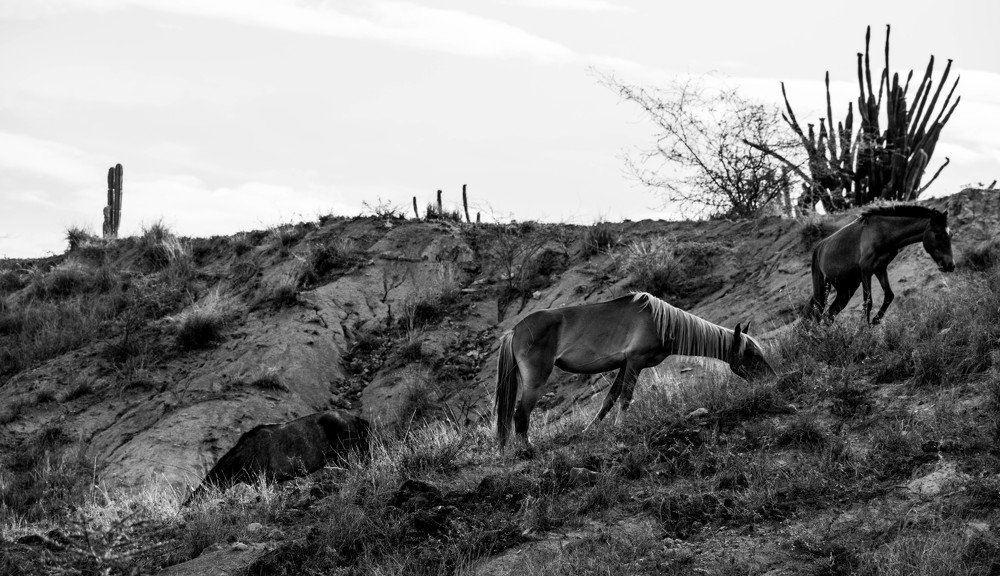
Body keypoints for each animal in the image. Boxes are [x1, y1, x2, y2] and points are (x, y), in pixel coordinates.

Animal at [494, 292, 775, 452]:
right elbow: (626, 398)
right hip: (535, 382)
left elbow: (609, 399)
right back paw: (527, 450)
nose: (772, 379)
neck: (662, 323)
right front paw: (620, 429)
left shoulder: (624, 365)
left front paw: (589, 431)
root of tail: (514, 330)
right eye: (751, 354)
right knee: (520, 415)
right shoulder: (635, 363)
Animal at [806, 205, 955, 325]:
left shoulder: (880, 268)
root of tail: (818, 248)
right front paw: (863, 329)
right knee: (818, 313)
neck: (882, 232)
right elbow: (868, 302)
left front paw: (875, 320)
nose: (950, 265)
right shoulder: (866, 271)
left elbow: (889, 295)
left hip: (847, 289)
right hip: (822, 288)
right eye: (937, 234)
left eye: (950, 235)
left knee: (829, 315)